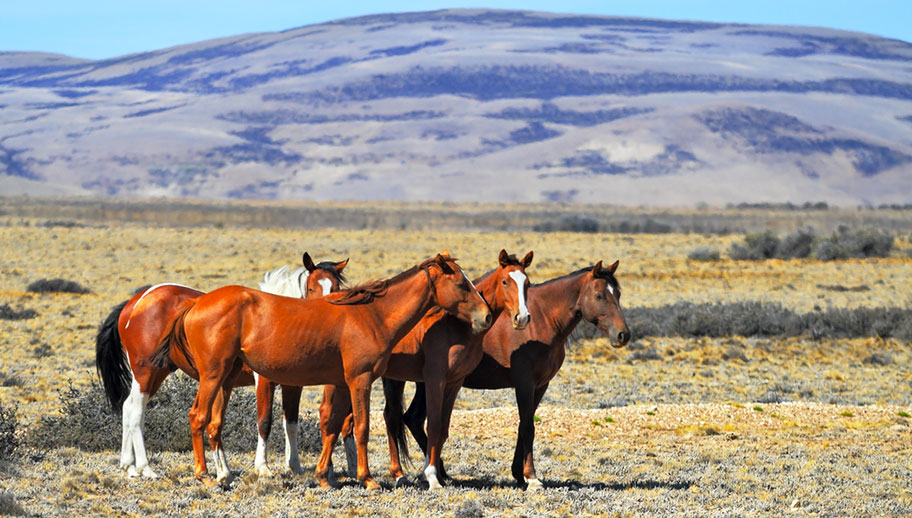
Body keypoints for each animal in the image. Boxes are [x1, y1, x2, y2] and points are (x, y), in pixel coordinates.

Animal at [95, 252, 346, 480]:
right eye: (312, 288)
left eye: (336, 287)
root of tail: (134, 303)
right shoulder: (264, 382)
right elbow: (264, 422)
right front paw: (263, 467)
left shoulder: (292, 385)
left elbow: (291, 423)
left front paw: (295, 466)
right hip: (146, 372)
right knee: (136, 411)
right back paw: (146, 468)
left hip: (157, 373)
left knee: (128, 407)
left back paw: (129, 466)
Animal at [151, 254, 492, 490]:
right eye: (461, 283)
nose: (487, 316)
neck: (372, 315)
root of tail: (195, 304)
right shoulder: (360, 381)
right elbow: (362, 427)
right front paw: (367, 478)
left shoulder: (340, 384)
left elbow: (332, 426)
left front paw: (324, 477)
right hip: (213, 376)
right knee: (197, 417)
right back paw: (205, 475)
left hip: (227, 378)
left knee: (213, 423)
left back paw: (223, 474)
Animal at [320, 250, 536, 490]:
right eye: (506, 281)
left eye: (527, 283)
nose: (522, 318)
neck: (455, 327)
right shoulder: (435, 380)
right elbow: (433, 425)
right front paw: (432, 477)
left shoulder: (454, 382)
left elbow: (443, 429)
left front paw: (438, 476)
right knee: (329, 415)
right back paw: (332, 474)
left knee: (387, 417)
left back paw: (397, 474)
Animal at [398, 262, 628, 494]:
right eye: (599, 296)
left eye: (617, 294)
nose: (623, 335)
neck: (543, 320)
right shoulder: (524, 383)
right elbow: (528, 427)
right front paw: (532, 478)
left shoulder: (540, 386)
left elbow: (523, 425)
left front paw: (519, 474)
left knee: (413, 418)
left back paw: (440, 473)